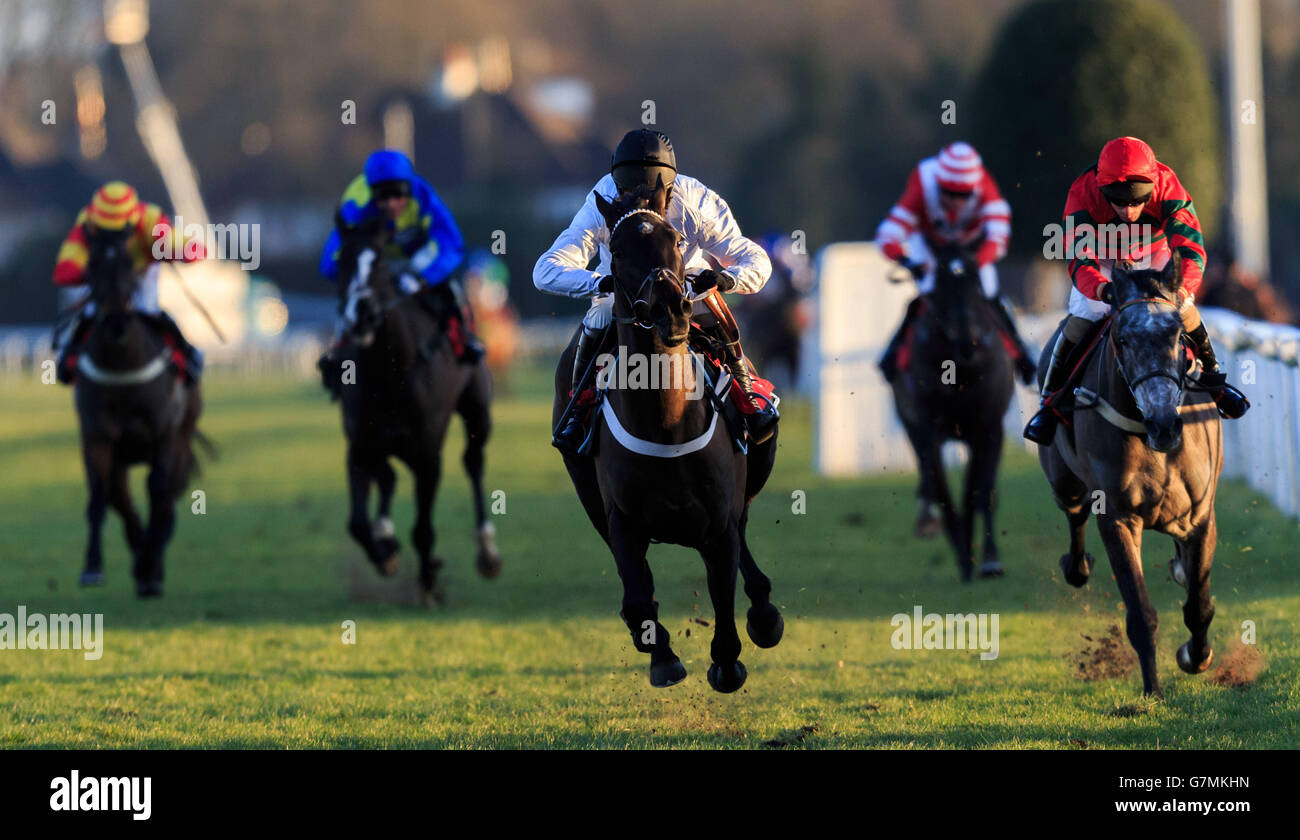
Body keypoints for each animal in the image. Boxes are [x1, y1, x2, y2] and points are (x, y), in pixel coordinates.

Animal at [71, 228, 200, 598]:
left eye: (129, 261)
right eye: (92, 263)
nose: (116, 322)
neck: (122, 366)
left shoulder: (164, 436)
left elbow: (158, 491)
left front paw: (150, 568)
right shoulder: (97, 438)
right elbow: (99, 497)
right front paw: (93, 567)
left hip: (182, 438)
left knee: (166, 497)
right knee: (121, 497)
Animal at [332, 214, 499, 603]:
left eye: (378, 261)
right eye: (342, 262)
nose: (361, 314)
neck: (390, 372)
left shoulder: (428, 456)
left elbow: (423, 529)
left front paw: (428, 583)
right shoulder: (359, 446)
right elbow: (356, 523)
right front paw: (386, 554)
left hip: (477, 411)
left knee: (473, 462)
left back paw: (487, 552)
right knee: (388, 478)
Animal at [551, 187, 780, 696]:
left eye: (675, 239)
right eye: (616, 251)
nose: (671, 309)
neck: (667, 423)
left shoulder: (718, 521)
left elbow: (723, 594)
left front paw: (727, 663)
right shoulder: (620, 519)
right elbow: (638, 597)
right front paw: (662, 656)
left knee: (745, 546)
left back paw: (765, 614)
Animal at [889, 247, 1019, 582]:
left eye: (976, 284)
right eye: (941, 287)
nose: (967, 339)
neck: (959, 370)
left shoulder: (990, 428)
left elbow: (982, 492)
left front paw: (989, 561)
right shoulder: (928, 430)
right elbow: (941, 489)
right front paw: (961, 551)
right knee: (933, 483)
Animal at [1040, 254, 1222, 696]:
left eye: (1178, 335)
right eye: (1121, 339)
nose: (1164, 425)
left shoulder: (1201, 515)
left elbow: (1199, 604)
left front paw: (1196, 656)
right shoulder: (1117, 518)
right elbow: (1141, 613)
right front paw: (1152, 691)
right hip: (1063, 481)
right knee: (1074, 513)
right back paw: (1077, 565)